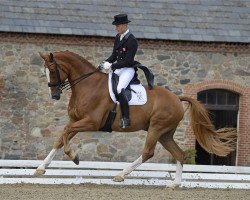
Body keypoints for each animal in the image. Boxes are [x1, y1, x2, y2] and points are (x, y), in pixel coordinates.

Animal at [35, 50, 236, 186]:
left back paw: (121, 175)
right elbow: (60, 138)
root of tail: (177, 98)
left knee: (148, 152)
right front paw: (41, 168)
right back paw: (175, 184)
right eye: (45, 71)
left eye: (53, 69)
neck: (87, 85)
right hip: (165, 133)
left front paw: (74, 157)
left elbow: (65, 132)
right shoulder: (76, 121)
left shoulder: (91, 122)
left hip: (156, 128)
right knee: (179, 154)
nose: (55, 95)